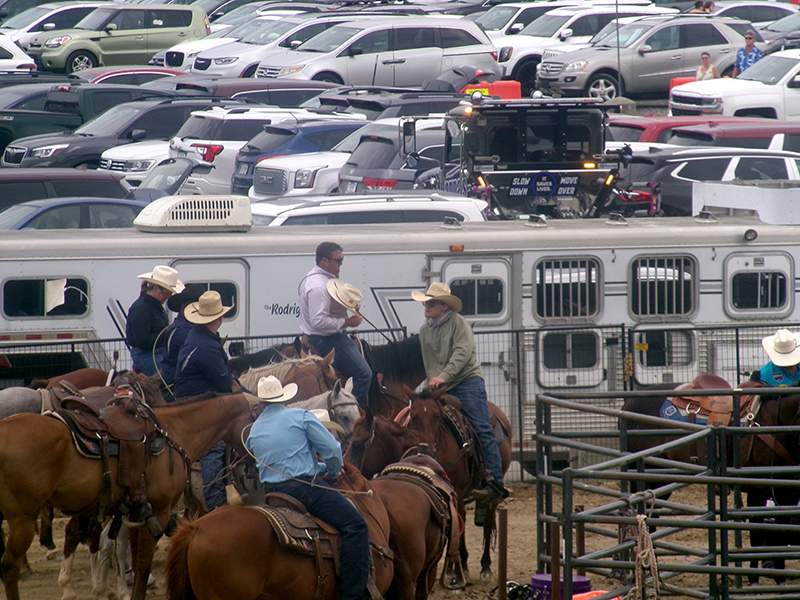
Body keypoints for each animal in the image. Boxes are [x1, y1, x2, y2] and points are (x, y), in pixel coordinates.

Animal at [0, 392, 255, 596]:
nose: (252, 466)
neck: (174, 431)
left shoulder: (132, 512)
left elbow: (123, 551)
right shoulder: (159, 510)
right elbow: (141, 565)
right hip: (23, 519)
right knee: (9, 567)